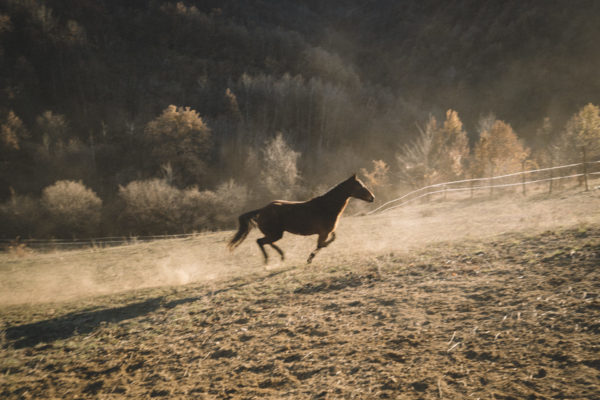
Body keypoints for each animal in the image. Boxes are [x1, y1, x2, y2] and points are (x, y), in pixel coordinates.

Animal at [227, 174, 372, 262]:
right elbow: (322, 244)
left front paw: (311, 257)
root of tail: (262, 210)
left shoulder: (327, 231)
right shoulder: (323, 233)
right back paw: (268, 262)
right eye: (360, 186)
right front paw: (310, 258)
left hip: (275, 234)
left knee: (266, 242)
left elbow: (332, 239)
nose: (373, 197)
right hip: (275, 234)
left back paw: (282, 256)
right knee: (260, 241)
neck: (326, 207)